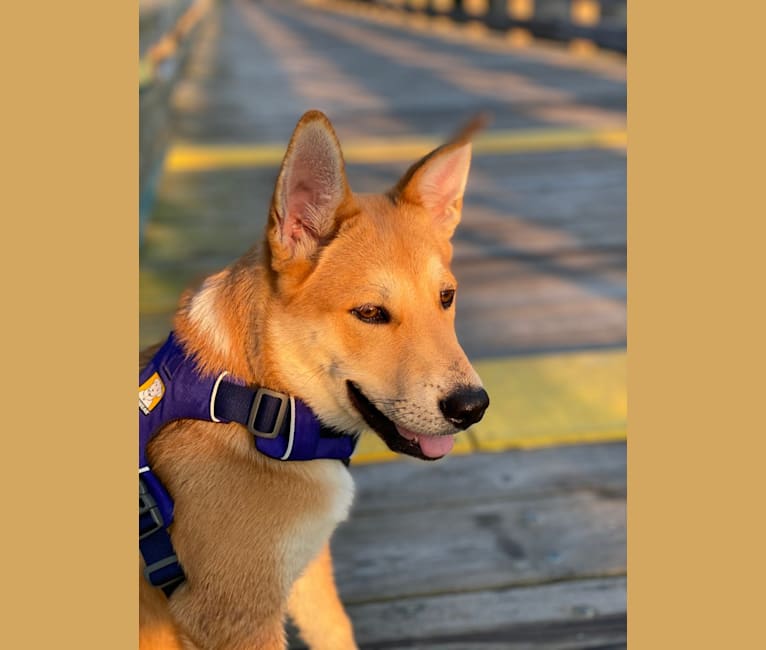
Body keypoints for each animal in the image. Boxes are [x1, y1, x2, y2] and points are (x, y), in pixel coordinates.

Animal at [140, 112, 488, 648]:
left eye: (446, 297)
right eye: (370, 313)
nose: (472, 407)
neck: (253, 401)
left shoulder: (304, 571)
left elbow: (336, 628)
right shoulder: (235, 617)